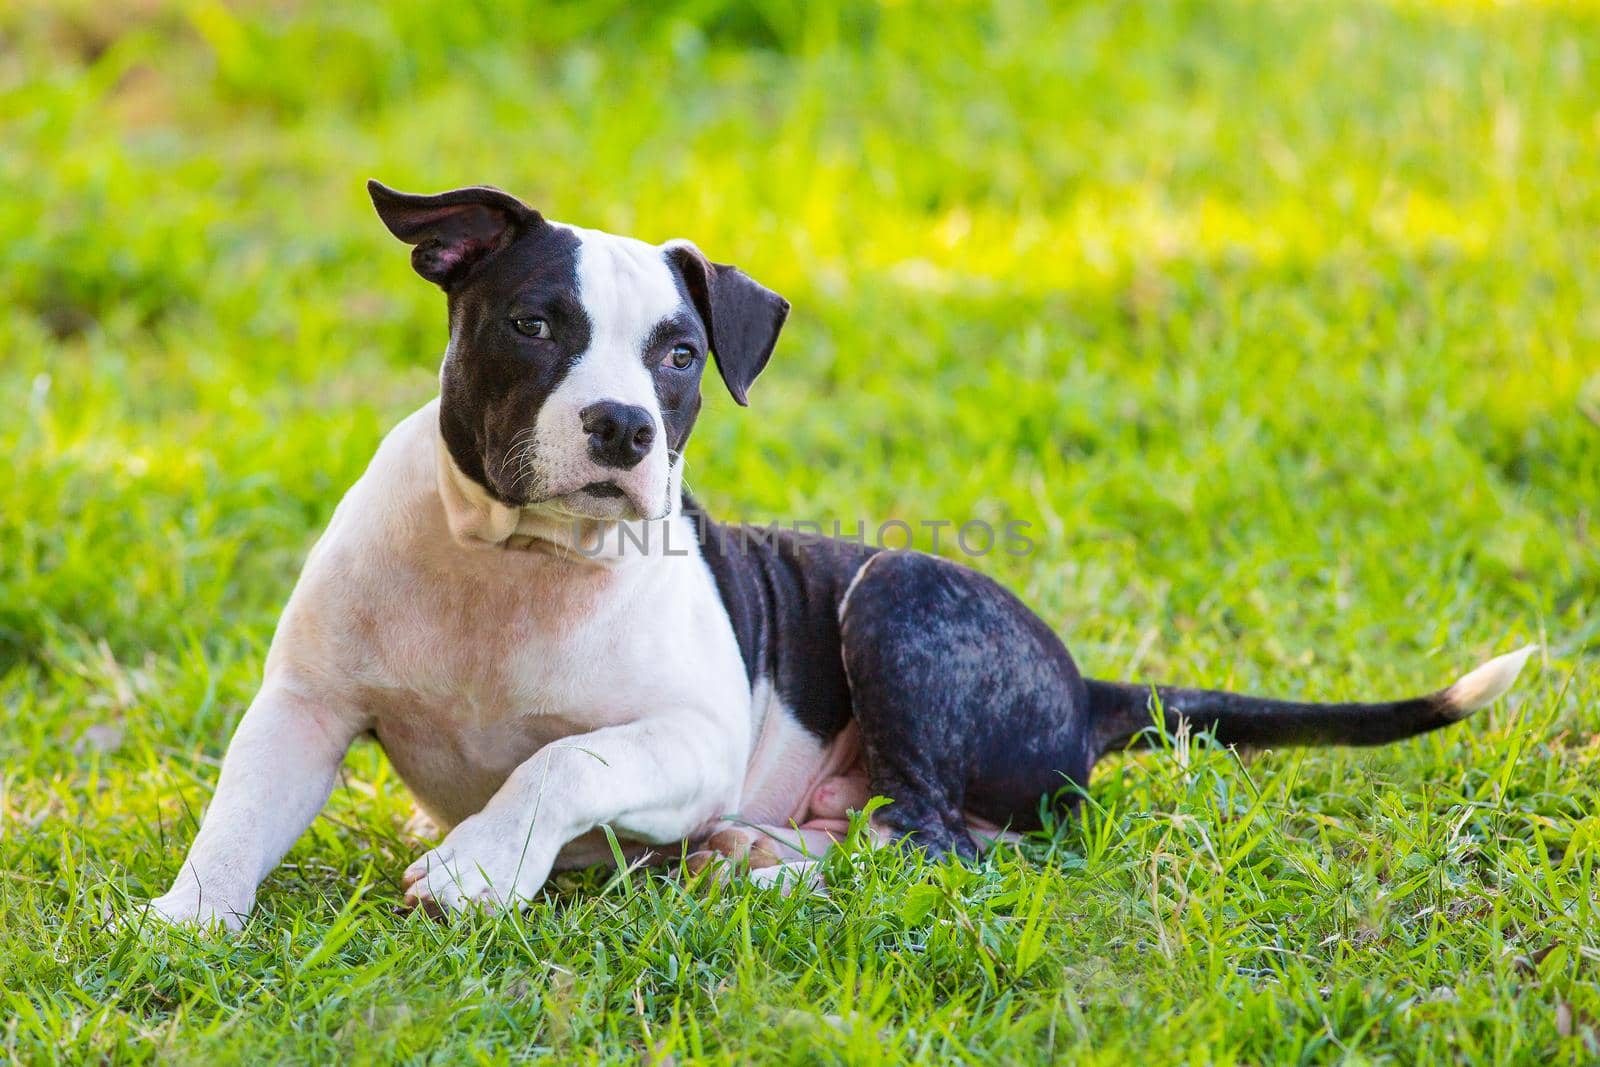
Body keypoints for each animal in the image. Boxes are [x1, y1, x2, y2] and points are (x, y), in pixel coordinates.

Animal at [144, 179, 1529, 927]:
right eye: (535, 324)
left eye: (679, 352)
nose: (622, 425)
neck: (513, 563)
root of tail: (1083, 684)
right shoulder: (305, 706)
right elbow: (237, 811)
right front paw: (185, 920)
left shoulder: (689, 741)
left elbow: (562, 761)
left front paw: (478, 866)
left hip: (896, 595)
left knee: (934, 838)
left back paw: (757, 871)